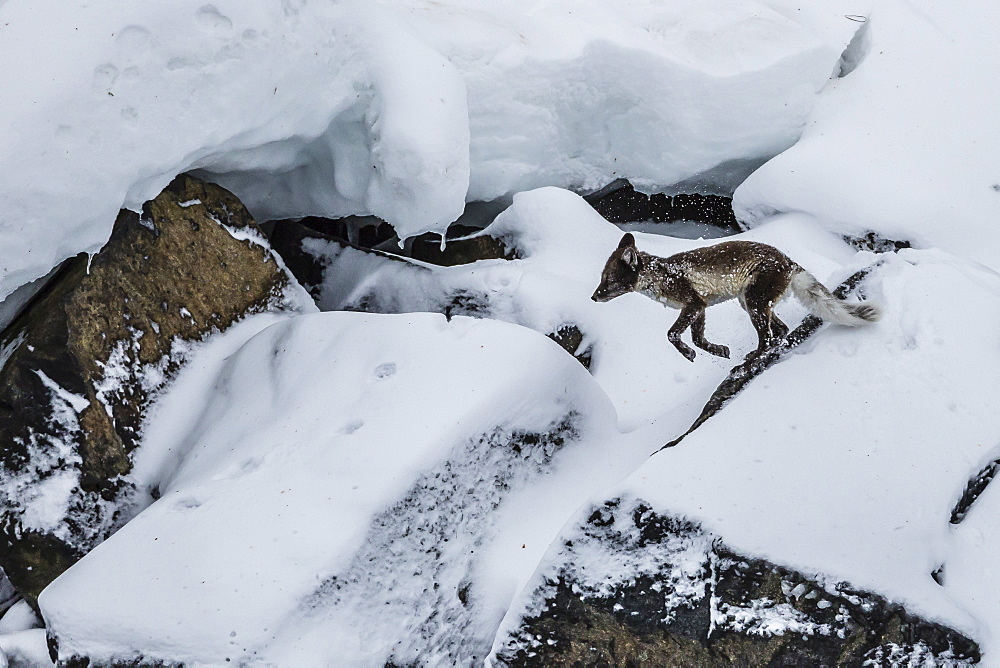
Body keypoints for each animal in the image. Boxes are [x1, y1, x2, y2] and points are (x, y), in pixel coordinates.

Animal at [588, 232, 880, 362]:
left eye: (609, 281)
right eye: (602, 278)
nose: (593, 297)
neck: (661, 276)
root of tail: (789, 262)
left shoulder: (692, 302)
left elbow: (672, 334)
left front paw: (687, 353)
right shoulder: (700, 306)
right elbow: (699, 338)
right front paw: (716, 350)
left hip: (754, 304)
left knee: (768, 337)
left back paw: (754, 357)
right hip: (751, 303)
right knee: (781, 330)